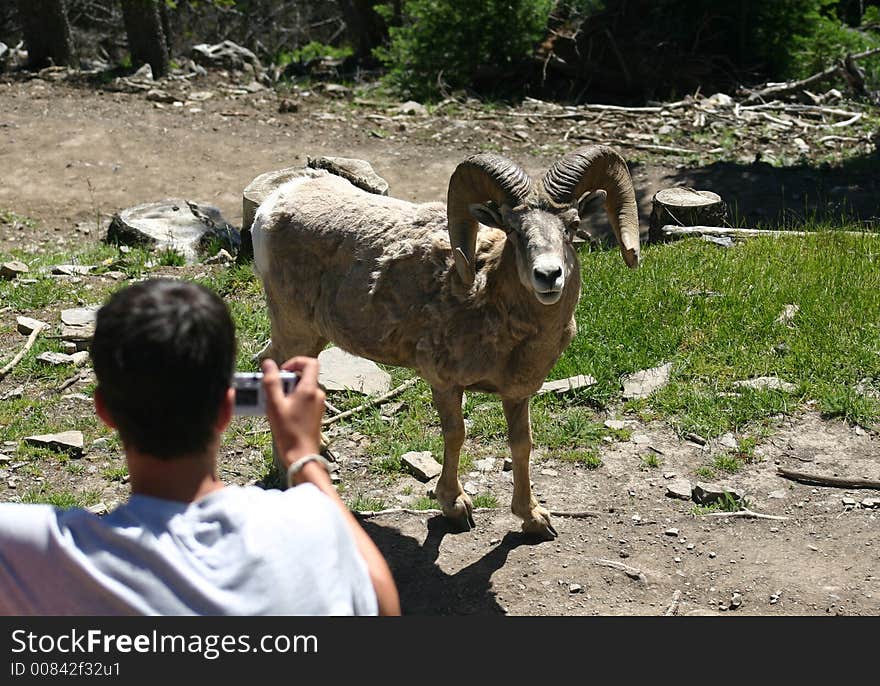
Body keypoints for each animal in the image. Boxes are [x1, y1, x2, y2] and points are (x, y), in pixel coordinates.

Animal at [251, 148, 636, 540]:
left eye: (571, 226)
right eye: (513, 229)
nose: (548, 276)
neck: (486, 296)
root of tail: (273, 204)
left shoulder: (517, 392)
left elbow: (522, 444)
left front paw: (534, 518)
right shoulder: (445, 383)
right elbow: (456, 435)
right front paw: (456, 507)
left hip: (313, 337)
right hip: (294, 329)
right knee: (273, 369)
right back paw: (290, 471)